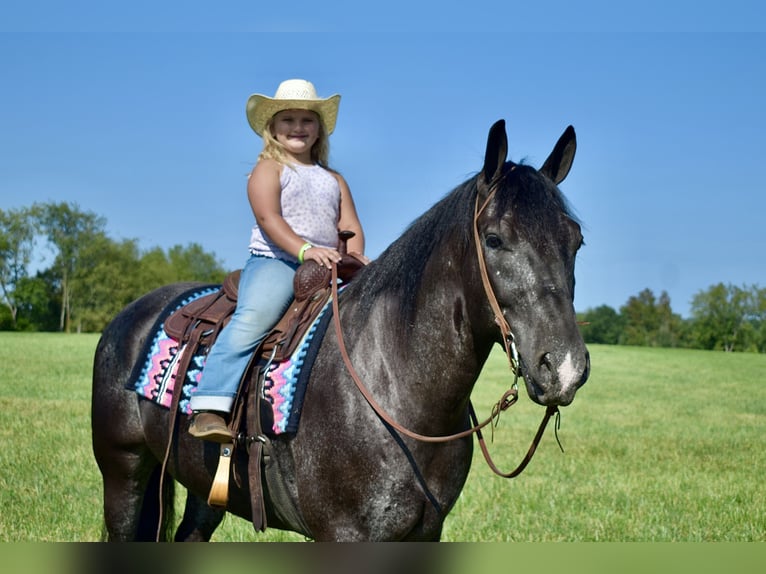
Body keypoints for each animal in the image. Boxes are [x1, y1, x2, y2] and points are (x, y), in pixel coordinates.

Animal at [91, 119, 592, 544]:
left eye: (576, 240)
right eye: (493, 238)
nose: (564, 367)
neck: (393, 384)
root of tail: (129, 316)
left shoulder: (424, 534)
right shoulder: (345, 535)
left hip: (202, 485)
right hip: (124, 471)